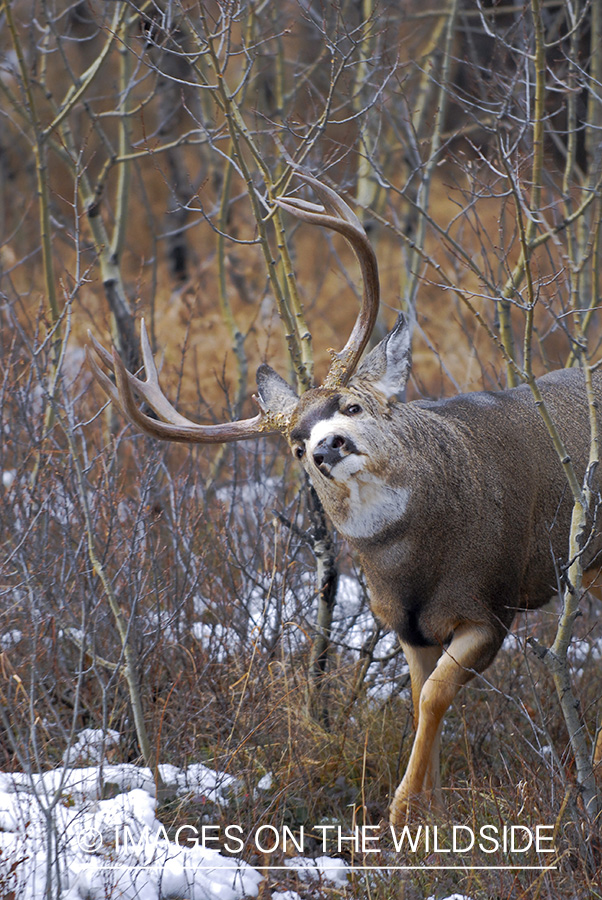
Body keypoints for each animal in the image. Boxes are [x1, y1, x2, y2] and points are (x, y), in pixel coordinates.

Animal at [87, 175, 602, 825]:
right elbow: (421, 698)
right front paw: (431, 807)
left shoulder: (492, 604)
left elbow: (434, 697)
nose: (326, 445)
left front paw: (402, 811)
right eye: (295, 447)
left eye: (352, 406)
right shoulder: (407, 626)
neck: (418, 564)